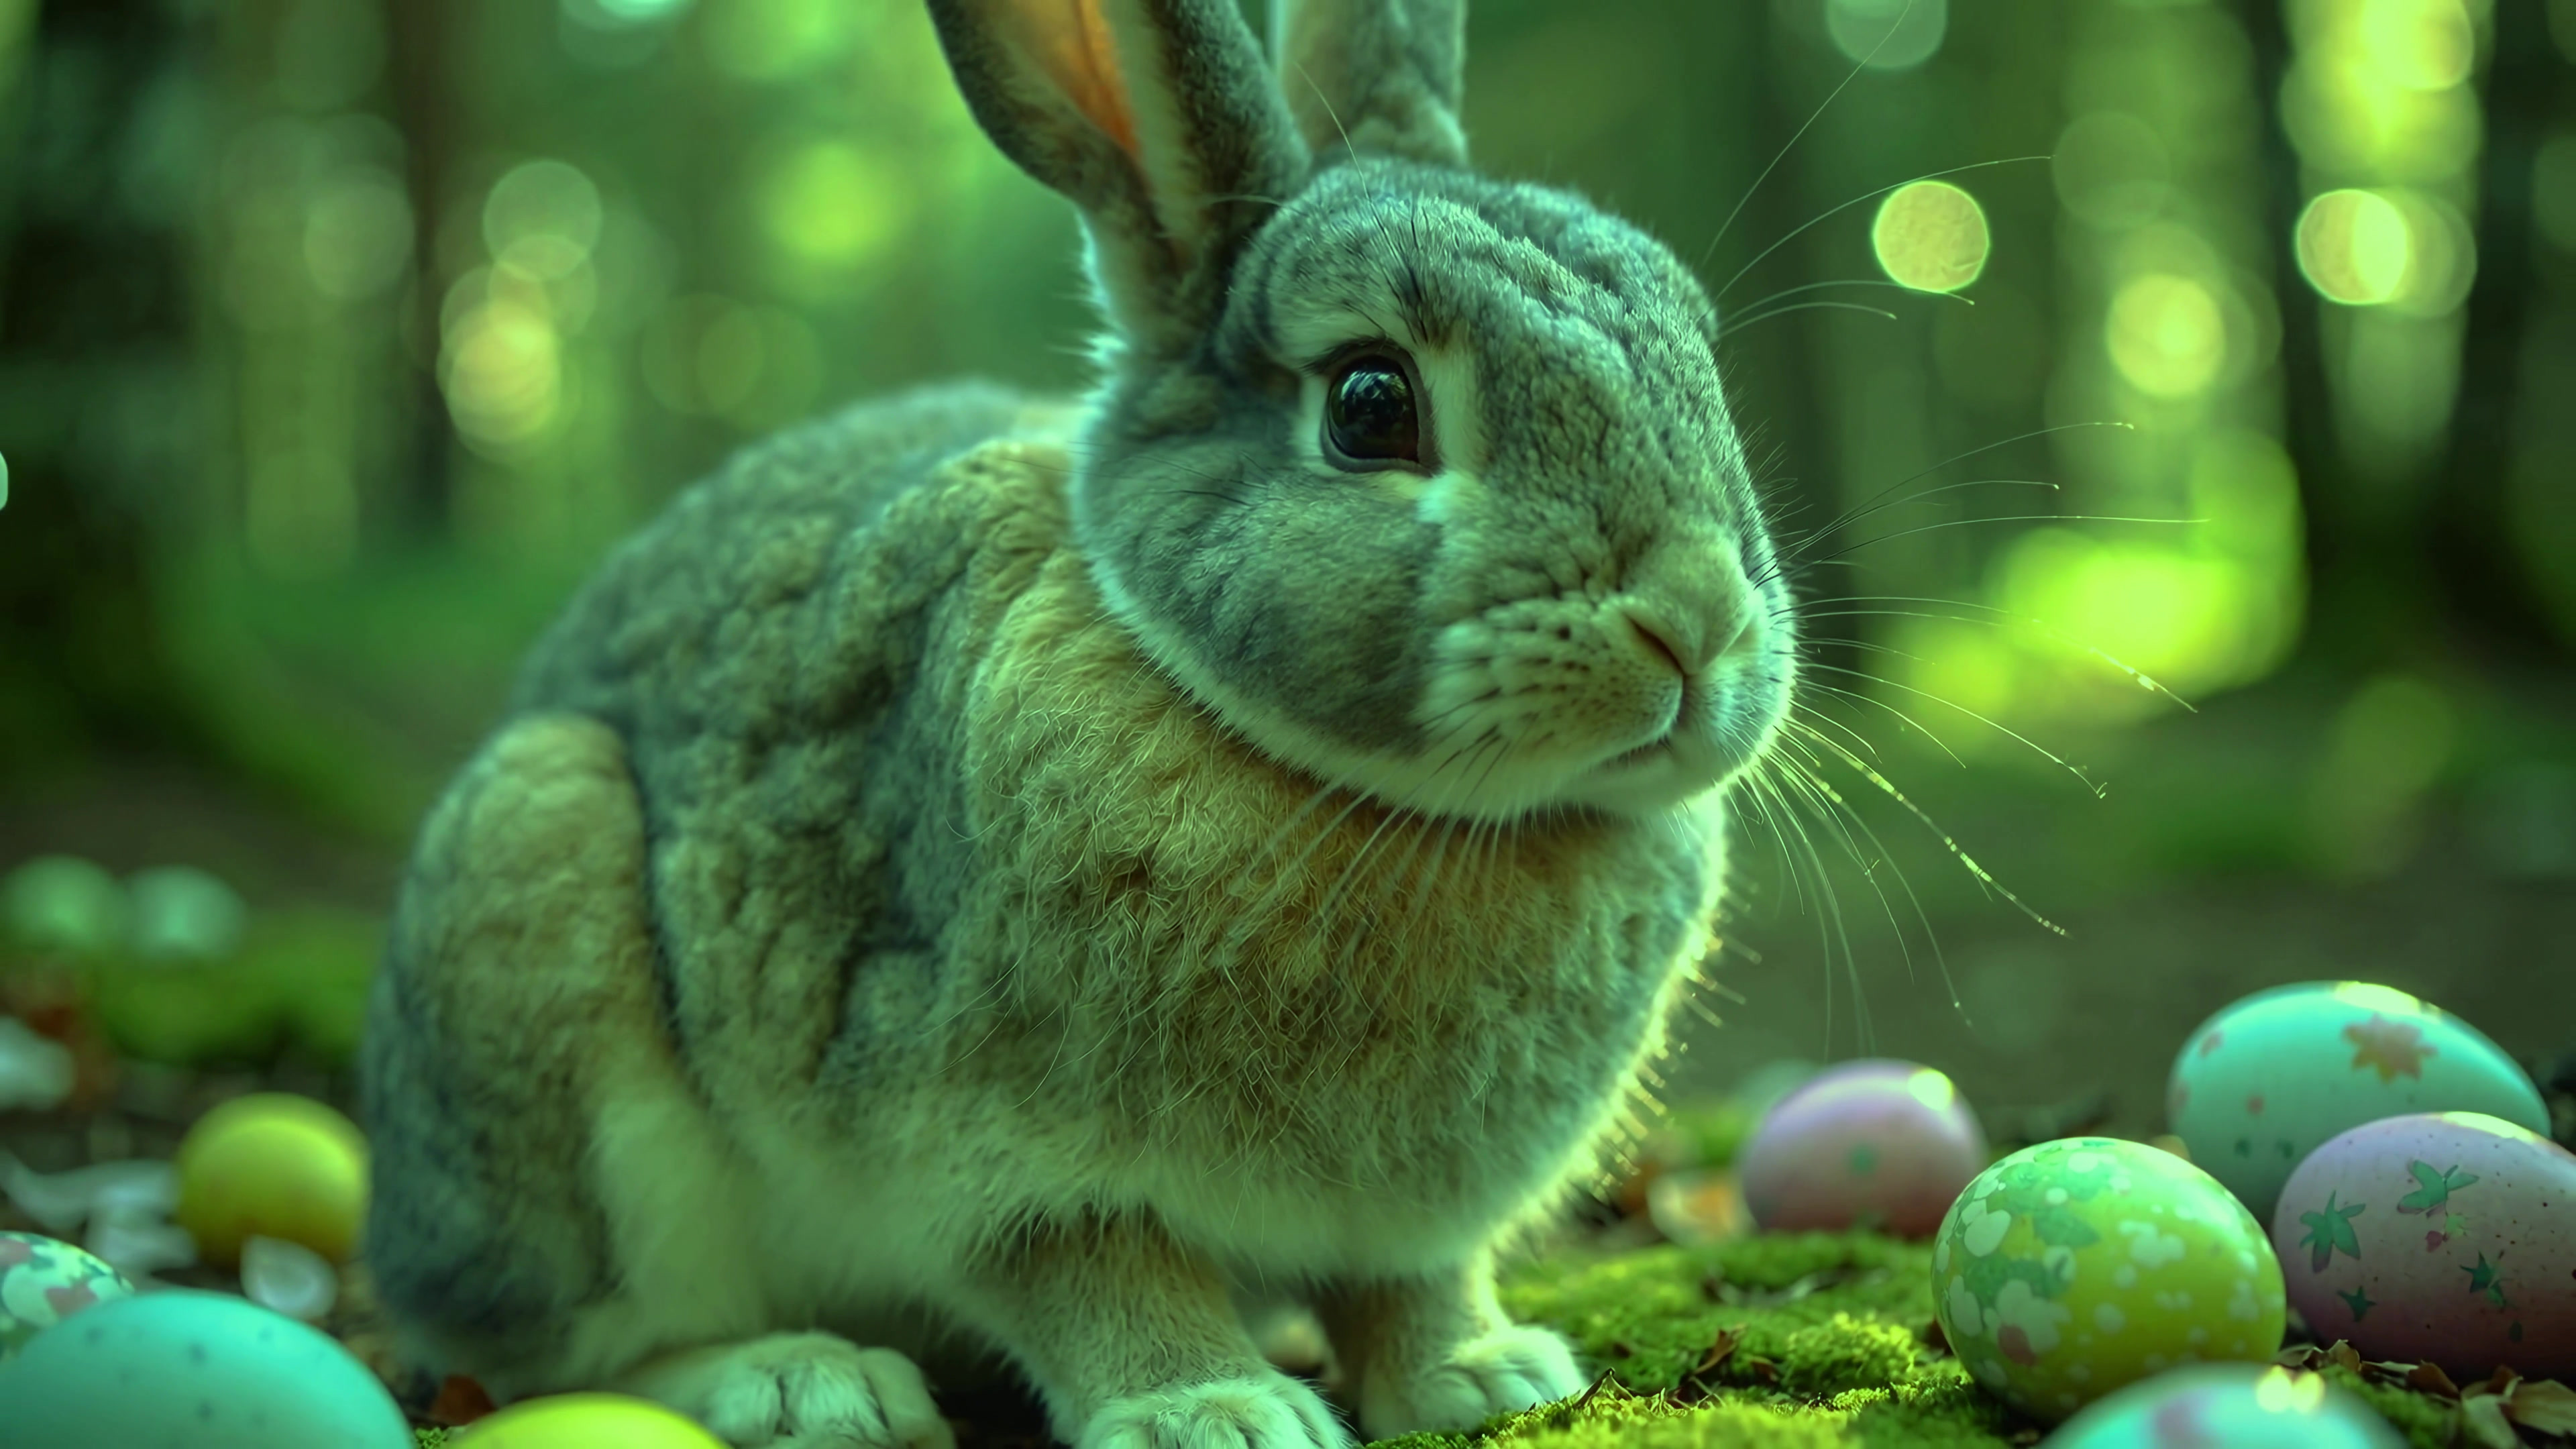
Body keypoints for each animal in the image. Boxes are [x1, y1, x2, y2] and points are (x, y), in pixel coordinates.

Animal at [356, 0, 1798, 1446]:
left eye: (1697, 354)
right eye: (1370, 403)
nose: (1697, 619)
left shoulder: (1407, 1224)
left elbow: (1409, 1287)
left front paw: (1482, 1376)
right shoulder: (986, 1146)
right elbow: (1096, 1273)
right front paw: (1216, 1410)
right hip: (539, 901)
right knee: (568, 1346)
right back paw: (803, 1381)